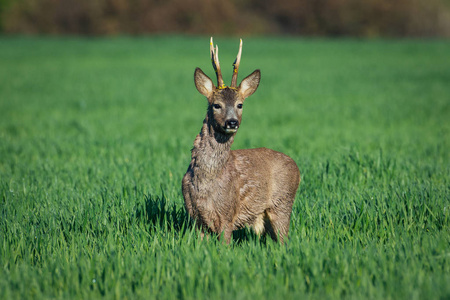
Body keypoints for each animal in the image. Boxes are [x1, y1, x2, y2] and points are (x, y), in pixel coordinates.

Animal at [181, 37, 300, 244]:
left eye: (240, 105)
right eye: (216, 105)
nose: (232, 122)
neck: (205, 183)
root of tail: (298, 168)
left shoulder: (228, 213)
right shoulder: (196, 217)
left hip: (282, 203)